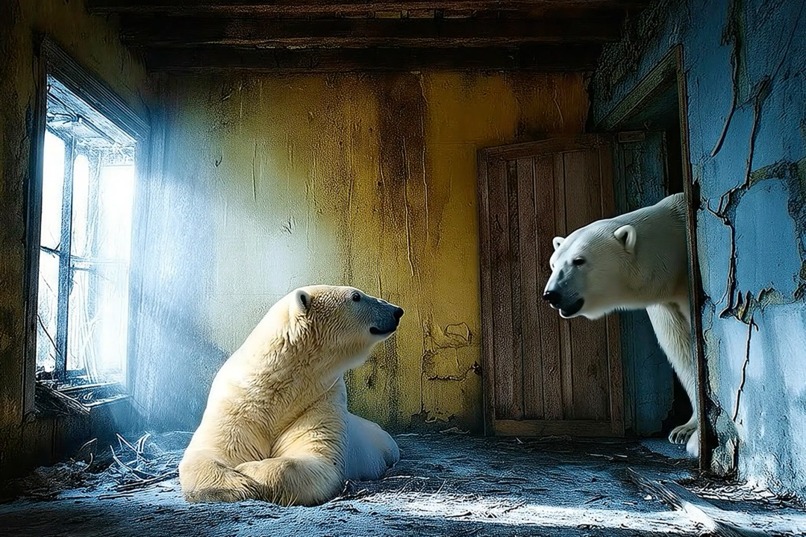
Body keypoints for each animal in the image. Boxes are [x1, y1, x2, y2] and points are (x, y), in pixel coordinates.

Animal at [178, 285, 404, 505]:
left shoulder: (319, 400)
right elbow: (210, 453)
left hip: (383, 447)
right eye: (356, 296)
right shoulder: (237, 405)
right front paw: (236, 484)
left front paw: (248, 470)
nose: (397, 311)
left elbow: (313, 457)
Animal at [541, 193, 699, 457]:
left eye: (579, 260)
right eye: (554, 263)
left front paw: (693, 436)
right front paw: (684, 429)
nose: (552, 294)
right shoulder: (665, 302)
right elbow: (679, 346)